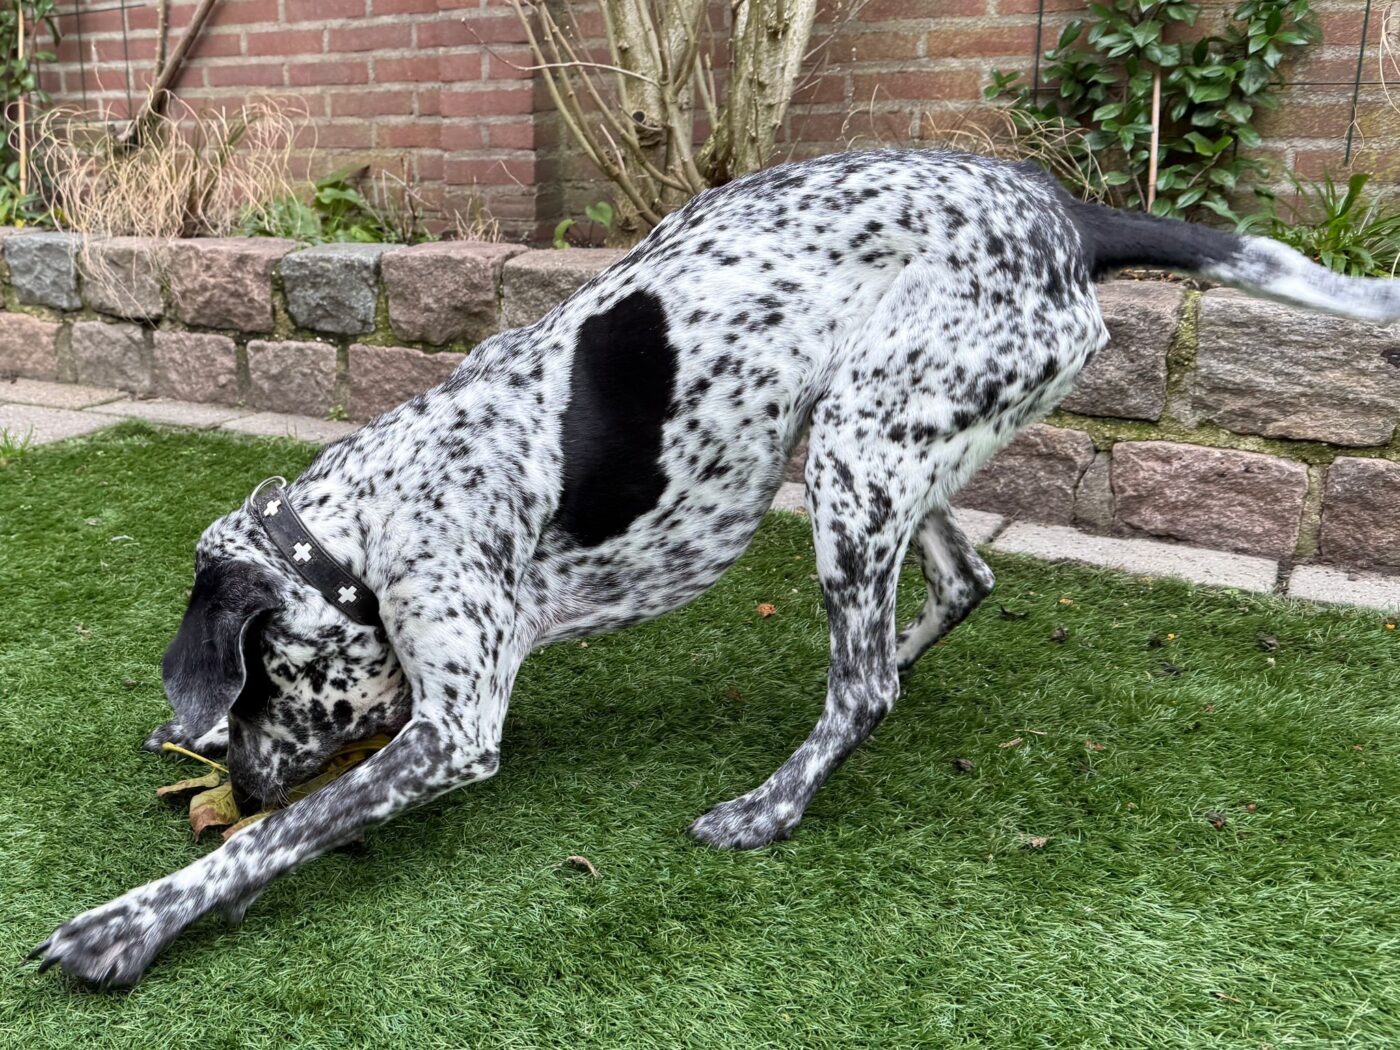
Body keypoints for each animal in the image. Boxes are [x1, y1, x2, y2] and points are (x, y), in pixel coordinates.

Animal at [30, 148, 1400, 986]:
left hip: (857, 448)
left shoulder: (454, 731)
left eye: (257, 684)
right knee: (951, 592)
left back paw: (774, 799)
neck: (372, 518)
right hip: (875, 443)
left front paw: (134, 921)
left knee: (865, 681)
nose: (235, 782)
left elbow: (286, 833)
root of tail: (1065, 211)